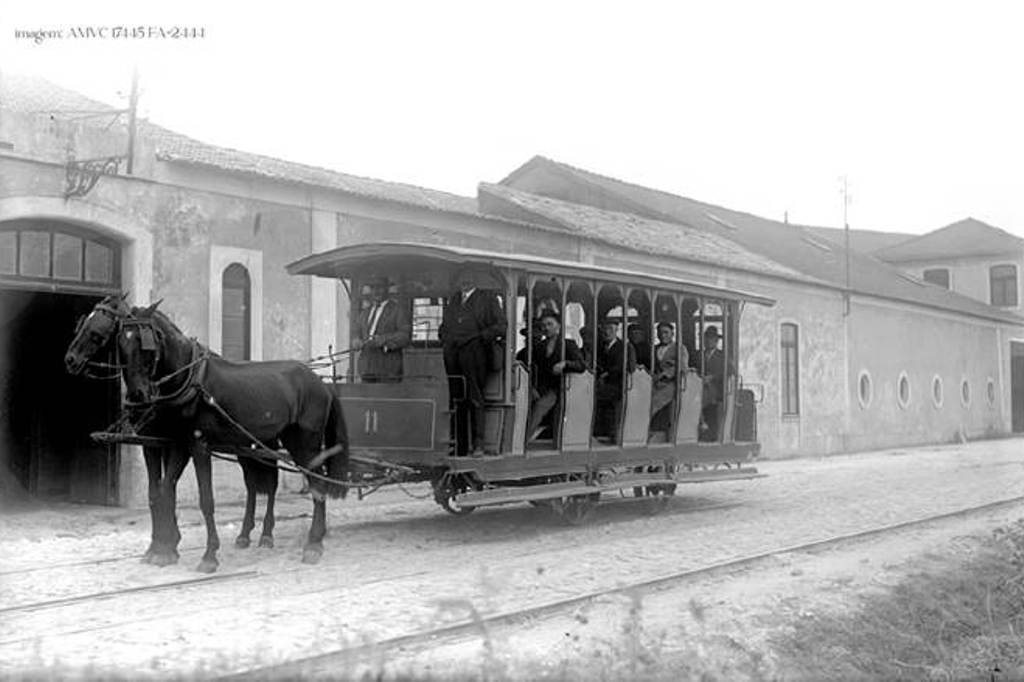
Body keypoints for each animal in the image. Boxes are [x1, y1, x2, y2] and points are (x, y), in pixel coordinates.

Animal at [67, 292, 352, 569]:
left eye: (145, 344)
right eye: (121, 344)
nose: (70, 359)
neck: (186, 379)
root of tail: (321, 384)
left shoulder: (197, 445)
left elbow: (203, 499)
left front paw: (207, 554)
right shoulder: (165, 443)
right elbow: (160, 492)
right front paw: (163, 547)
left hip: (304, 443)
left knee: (315, 484)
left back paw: (313, 543)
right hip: (259, 445)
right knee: (261, 485)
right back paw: (258, 535)